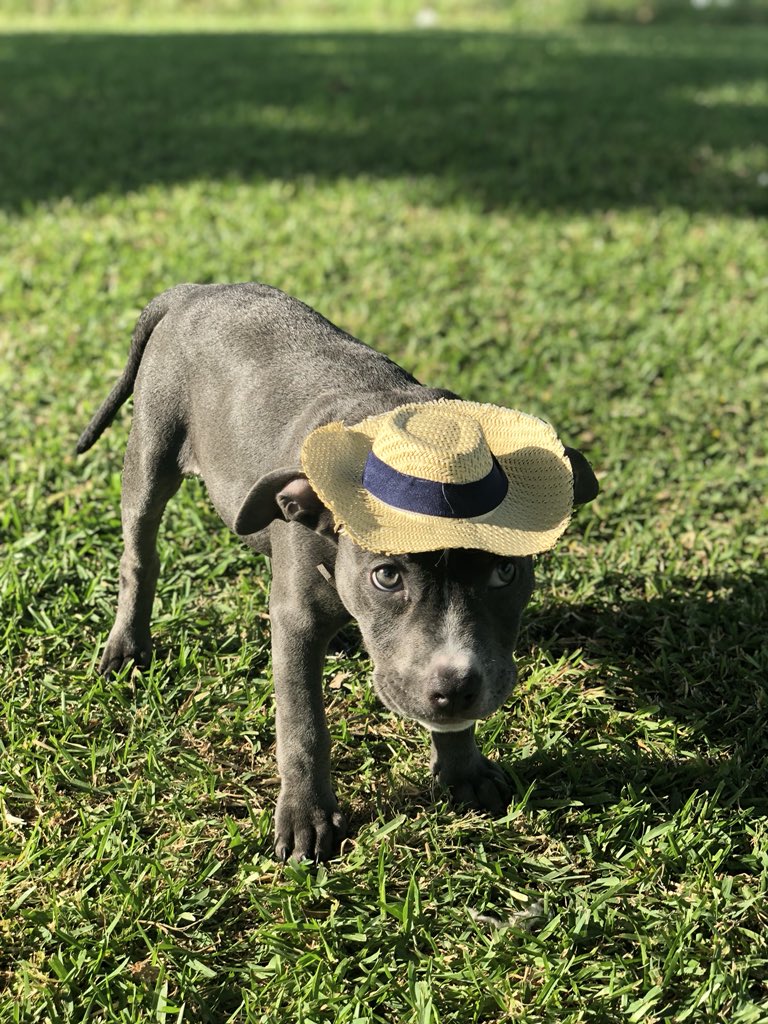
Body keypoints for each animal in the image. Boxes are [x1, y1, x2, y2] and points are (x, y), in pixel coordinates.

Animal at [78, 282, 598, 864]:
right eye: (387, 577)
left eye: (506, 573)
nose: (456, 686)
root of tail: (198, 289)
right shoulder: (297, 624)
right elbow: (303, 722)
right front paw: (307, 816)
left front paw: (463, 771)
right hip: (151, 451)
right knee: (139, 556)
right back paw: (127, 645)